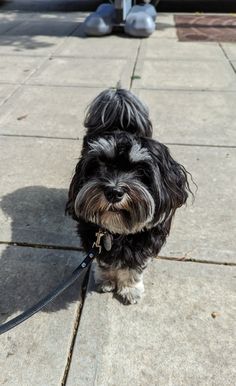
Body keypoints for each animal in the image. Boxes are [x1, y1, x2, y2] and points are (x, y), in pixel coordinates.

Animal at [65, 88, 191, 304]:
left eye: (140, 171)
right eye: (99, 165)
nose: (114, 192)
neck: (118, 231)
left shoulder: (146, 241)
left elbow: (133, 267)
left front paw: (129, 288)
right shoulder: (93, 237)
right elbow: (106, 262)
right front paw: (107, 280)